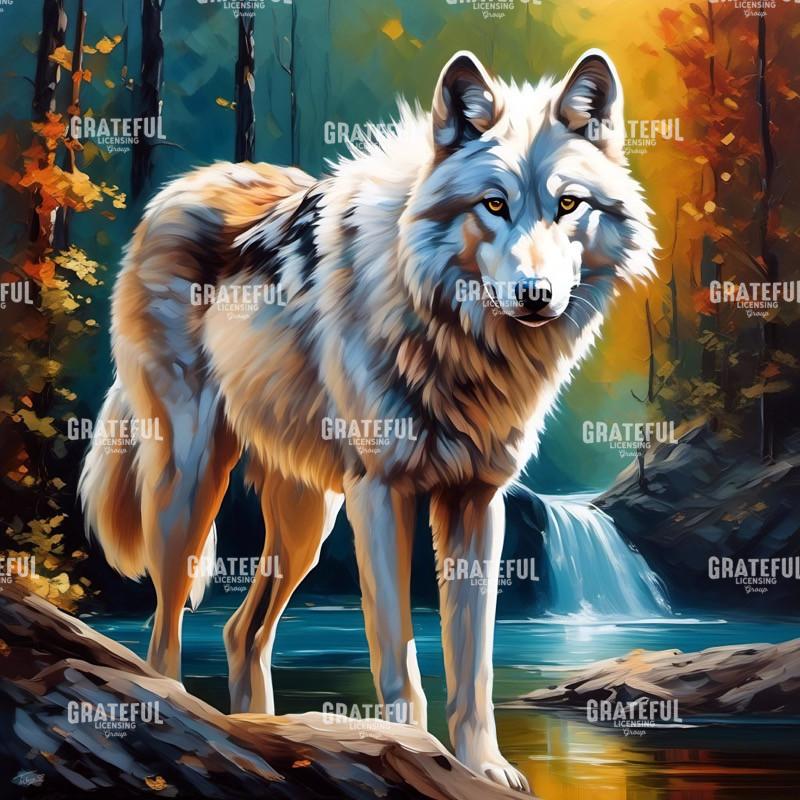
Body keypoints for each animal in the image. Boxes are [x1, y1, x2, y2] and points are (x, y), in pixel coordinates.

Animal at [80, 49, 655, 791]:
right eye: (494, 205)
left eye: (568, 204)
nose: (535, 295)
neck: (454, 337)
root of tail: (181, 187)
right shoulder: (382, 494)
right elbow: (399, 659)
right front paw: (414, 751)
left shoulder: (478, 501)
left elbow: (473, 663)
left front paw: (484, 767)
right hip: (193, 484)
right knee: (163, 629)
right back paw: (180, 716)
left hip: (308, 520)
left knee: (242, 631)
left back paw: (262, 733)